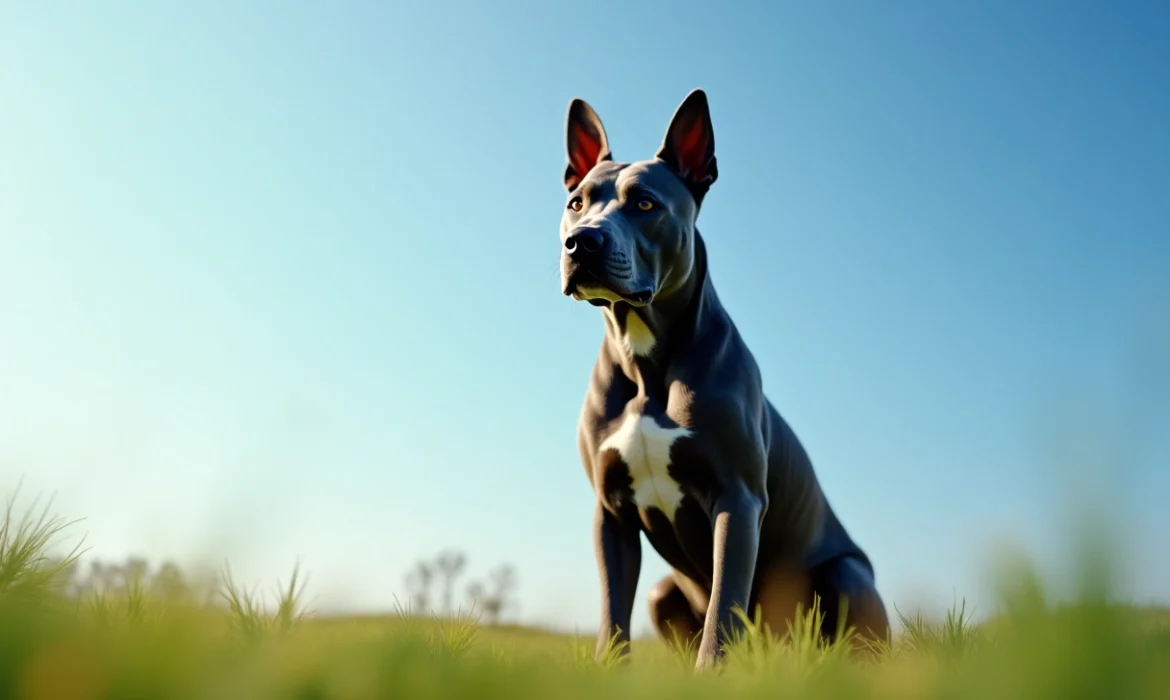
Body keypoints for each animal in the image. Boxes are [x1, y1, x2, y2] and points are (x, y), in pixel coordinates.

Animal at [561, 88, 889, 669]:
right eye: (577, 202)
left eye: (645, 204)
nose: (582, 242)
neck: (644, 362)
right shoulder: (610, 513)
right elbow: (612, 609)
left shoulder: (737, 498)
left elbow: (725, 600)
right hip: (664, 593)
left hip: (847, 575)